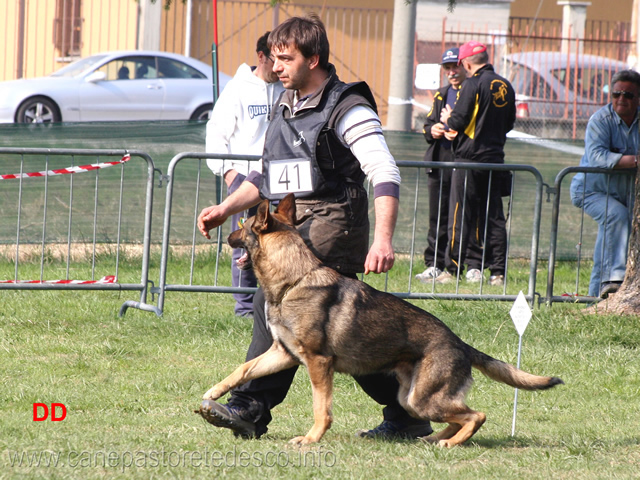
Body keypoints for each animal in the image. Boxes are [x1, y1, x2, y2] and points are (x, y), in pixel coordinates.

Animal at [199, 194, 560, 446]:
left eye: (242, 228)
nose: (224, 237)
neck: (294, 281)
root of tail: (461, 344)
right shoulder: (282, 354)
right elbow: (243, 369)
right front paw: (214, 394)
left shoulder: (318, 363)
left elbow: (321, 409)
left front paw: (311, 439)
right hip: (412, 398)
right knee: (457, 417)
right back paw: (432, 438)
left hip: (422, 398)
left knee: (477, 415)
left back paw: (449, 443)